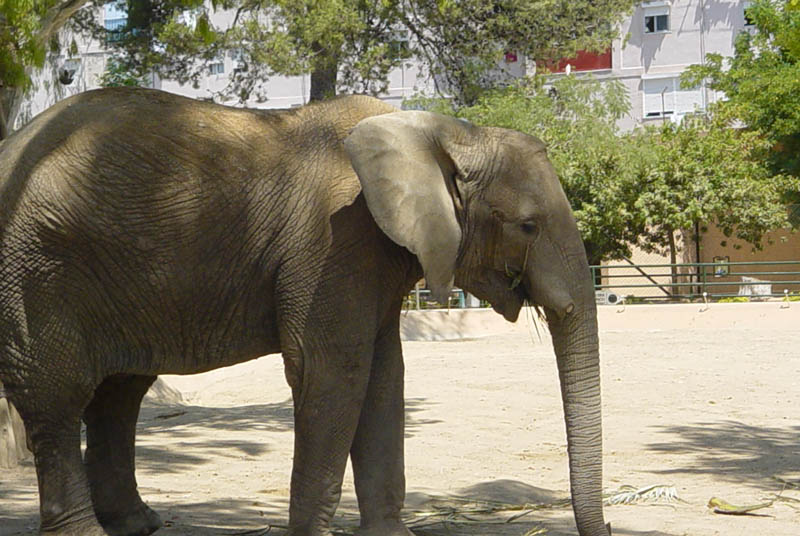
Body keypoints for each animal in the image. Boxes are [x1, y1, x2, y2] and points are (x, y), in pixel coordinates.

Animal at [0, 88, 608, 536]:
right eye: (527, 226)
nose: (600, 528)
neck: (437, 131)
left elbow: (384, 376)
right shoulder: (332, 243)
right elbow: (333, 373)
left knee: (119, 393)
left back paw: (136, 525)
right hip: (37, 270)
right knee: (60, 397)